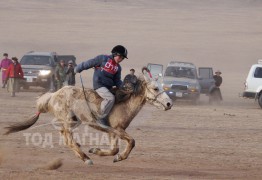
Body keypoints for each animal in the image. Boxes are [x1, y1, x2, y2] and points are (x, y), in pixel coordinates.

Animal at [4, 68, 173, 165]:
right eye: (155, 88)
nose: (169, 103)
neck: (124, 102)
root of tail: (53, 94)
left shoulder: (113, 132)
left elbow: (114, 149)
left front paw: (97, 150)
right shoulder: (117, 130)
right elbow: (131, 142)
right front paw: (118, 157)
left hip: (72, 121)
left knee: (65, 136)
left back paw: (83, 152)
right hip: (68, 121)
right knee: (68, 140)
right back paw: (86, 158)